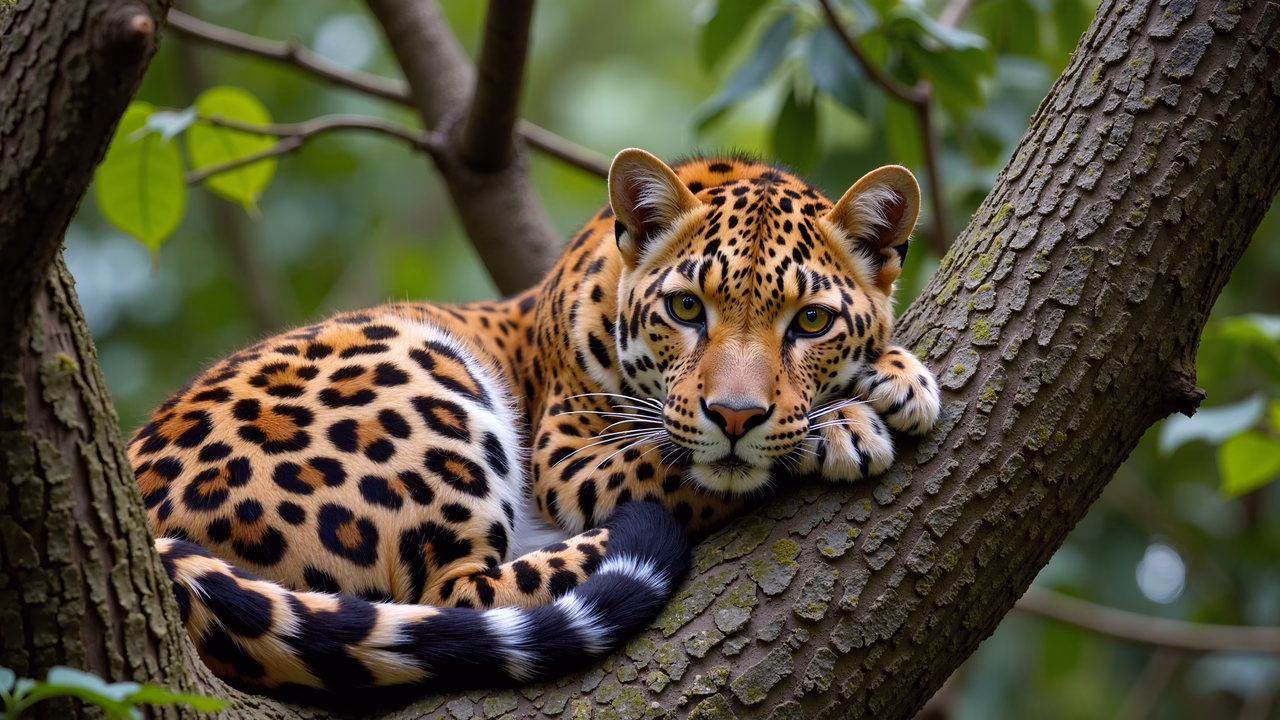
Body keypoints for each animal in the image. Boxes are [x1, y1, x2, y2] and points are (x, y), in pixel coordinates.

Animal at [128, 148, 941, 702]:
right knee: (453, 594)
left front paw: (898, 374)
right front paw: (842, 425)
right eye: (686, 309)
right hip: (419, 366)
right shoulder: (572, 459)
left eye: (811, 322)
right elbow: (679, 461)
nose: (735, 415)